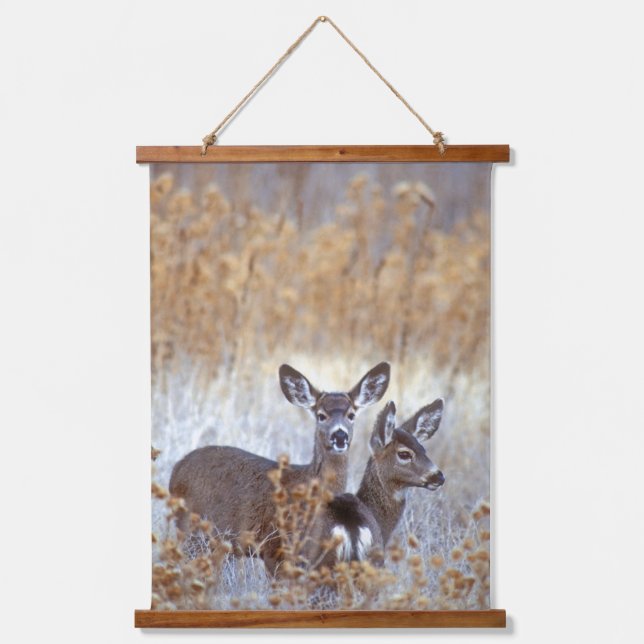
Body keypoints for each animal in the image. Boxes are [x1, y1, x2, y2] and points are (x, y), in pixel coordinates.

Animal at [168, 361, 390, 576]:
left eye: (351, 415)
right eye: (321, 415)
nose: (340, 436)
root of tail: (177, 468)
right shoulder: (275, 548)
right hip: (191, 531)